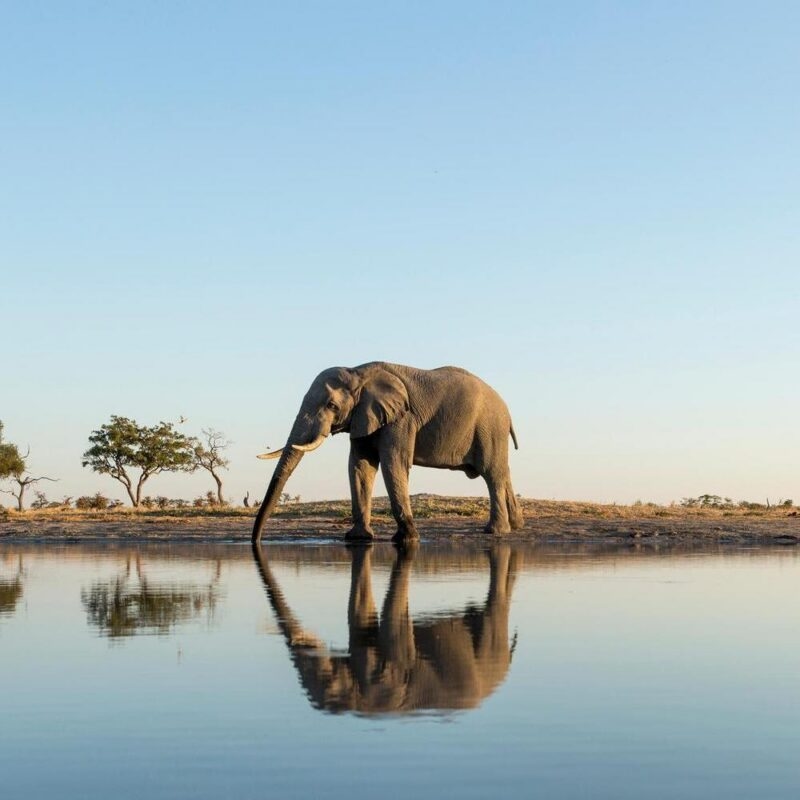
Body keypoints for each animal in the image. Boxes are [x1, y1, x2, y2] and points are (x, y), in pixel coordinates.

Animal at [252, 362, 523, 543]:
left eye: (331, 405)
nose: (255, 542)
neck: (358, 372)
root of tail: (507, 410)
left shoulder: (401, 418)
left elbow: (393, 462)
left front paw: (407, 539)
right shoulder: (363, 418)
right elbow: (360, 466)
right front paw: (358, 538)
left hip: (489, 427)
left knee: (492, 473)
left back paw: (495, 531)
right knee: (503, 472)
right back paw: (517, 525)